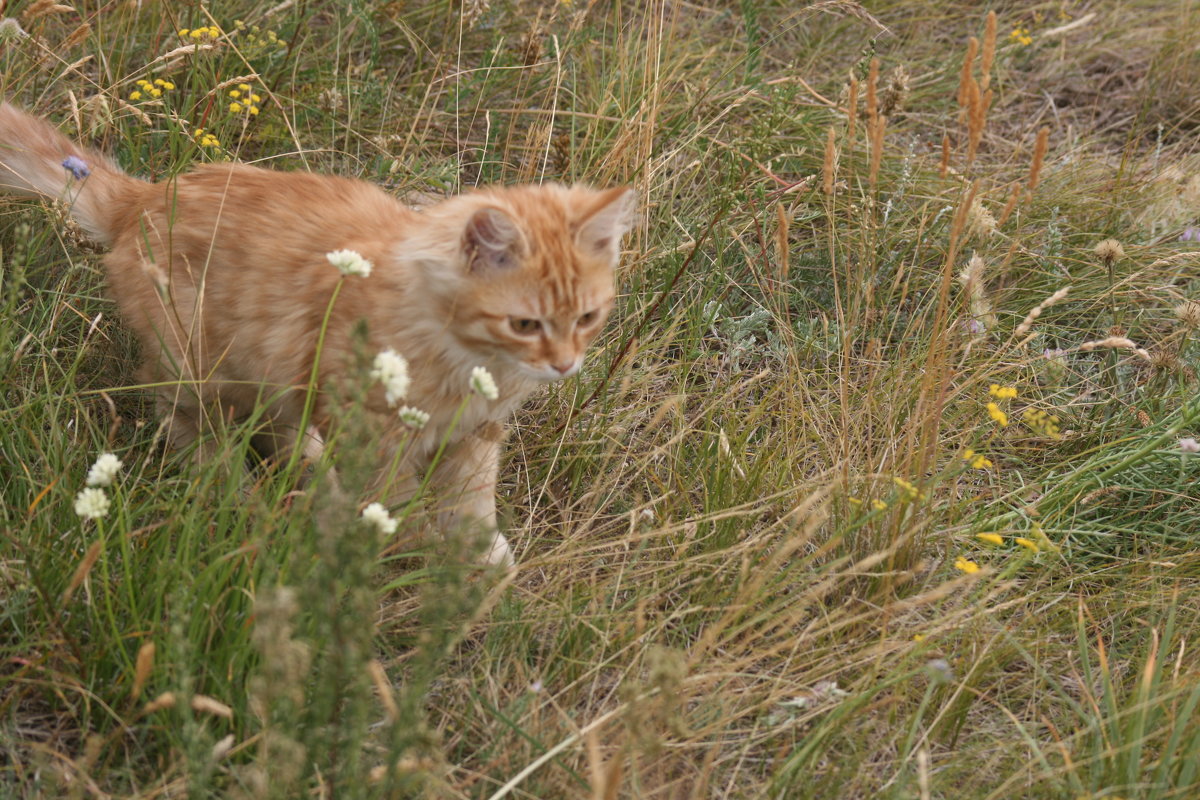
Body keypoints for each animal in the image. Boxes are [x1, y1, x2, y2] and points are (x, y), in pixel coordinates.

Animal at [0, 103, 638, 568]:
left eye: (586, 318)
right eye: (526, 324)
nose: (564, 365)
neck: (469, 363)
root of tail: (147, 196)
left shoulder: (475, 435)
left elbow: (471, 508)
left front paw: (485, 566)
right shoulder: (376, 436)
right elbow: (398, 509)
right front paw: (415, 552)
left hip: (271, 375)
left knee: (277, 430)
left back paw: (306, 473)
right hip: (199, 366)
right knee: (185, 426)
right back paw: (237, 489)